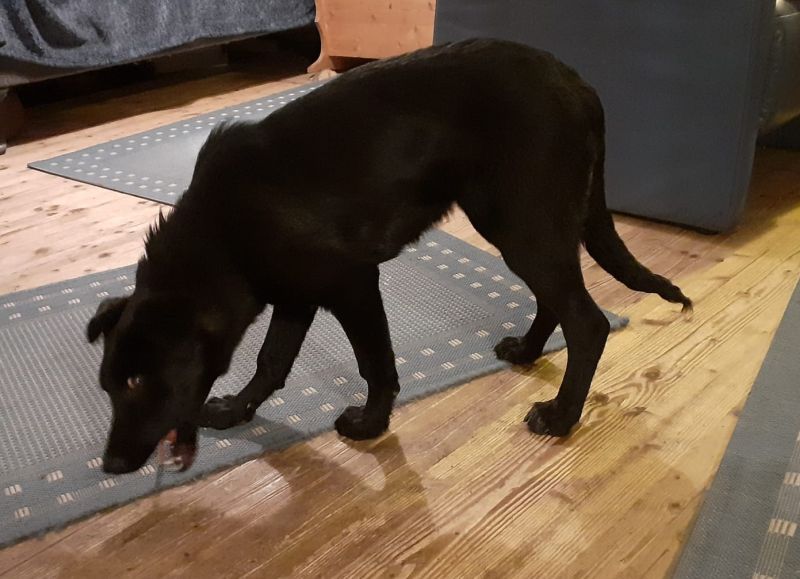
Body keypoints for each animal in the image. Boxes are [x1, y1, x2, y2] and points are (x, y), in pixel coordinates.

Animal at [87, 38, 691, 474]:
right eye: (108, 387)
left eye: (137, 383)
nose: (111, 465)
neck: (222, 233)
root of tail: (579, 85)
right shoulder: (295, 296)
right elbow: (271, 360)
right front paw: (238, 410)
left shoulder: (352, 283)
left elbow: (375, 362)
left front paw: (371, 424)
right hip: (519, 227)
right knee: (557, 301)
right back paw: (526, 350)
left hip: (523, 226)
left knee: (587, 322)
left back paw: (562, 417)